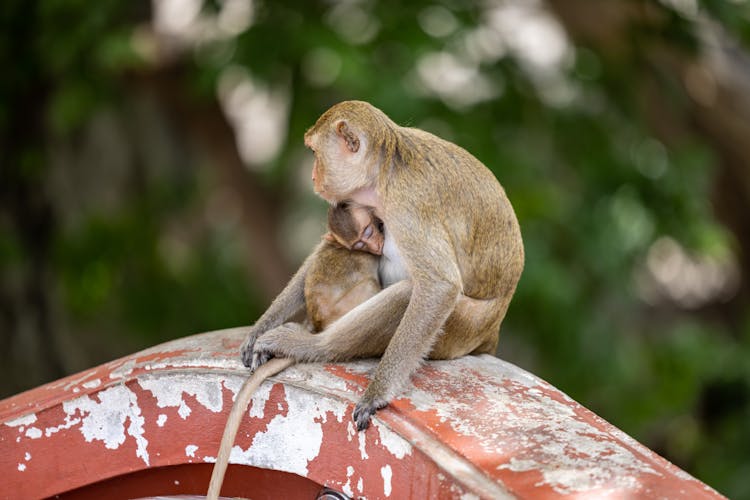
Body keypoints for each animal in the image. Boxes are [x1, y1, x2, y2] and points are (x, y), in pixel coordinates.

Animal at [241, 100, 524, 430]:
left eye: (314, 152)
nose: (312, 176)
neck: (386, 171)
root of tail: (492, 330)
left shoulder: (408, 206)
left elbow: (440, 286)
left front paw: (377, 394)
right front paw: (261, 326)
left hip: (461, 329)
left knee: (407, 295)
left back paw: (314, 346)